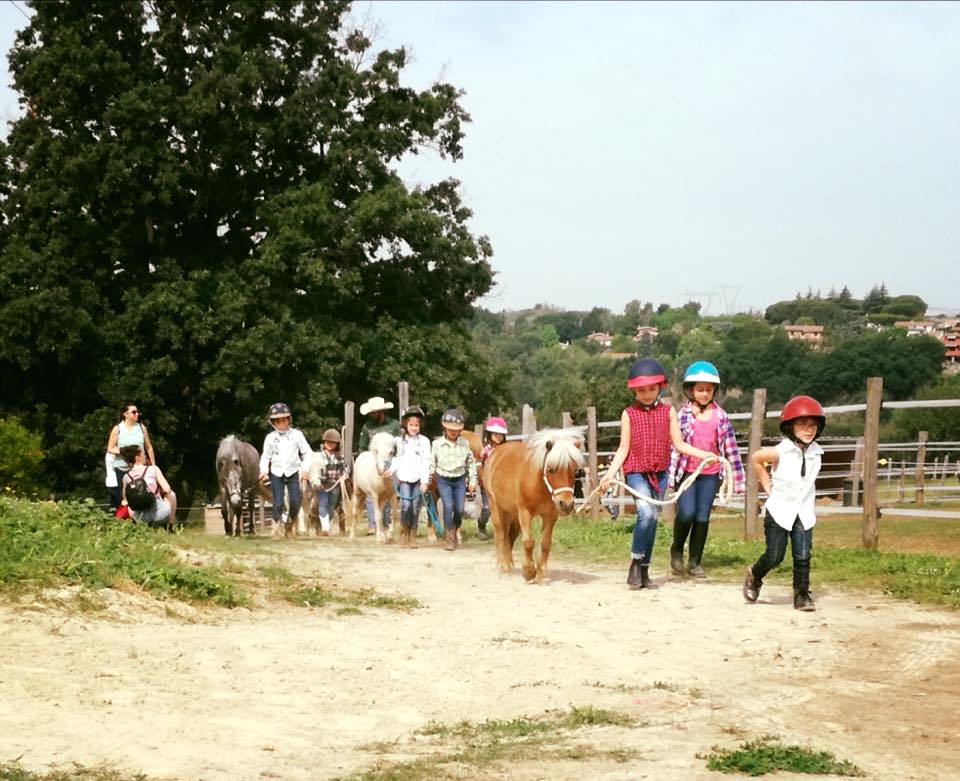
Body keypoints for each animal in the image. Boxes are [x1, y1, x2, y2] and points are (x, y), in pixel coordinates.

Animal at [482, 427, 585, 582]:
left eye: (574, 470)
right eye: (551, 469)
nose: (566, 505)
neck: (540, 484)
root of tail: (495, 454)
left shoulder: (550, 516)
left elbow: (545, 544)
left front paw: (541, 574)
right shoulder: (525, 512)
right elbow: (528, 542)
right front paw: (529, 572)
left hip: (512, 514)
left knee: (509, 538)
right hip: (496, 508)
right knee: (500, 536)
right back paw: (504, 568)